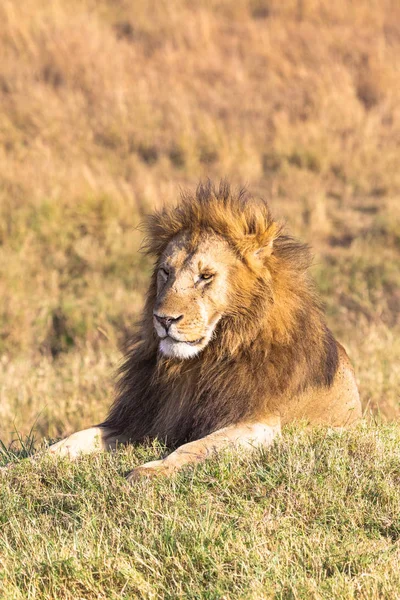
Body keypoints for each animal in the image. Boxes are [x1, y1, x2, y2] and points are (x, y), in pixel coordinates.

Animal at [48, 180, 360, 480]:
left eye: (205, 276)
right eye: (165, 272)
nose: (163, 319)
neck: (198, 364)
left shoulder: (259, 424)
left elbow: (194, 447)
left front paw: (150, 471)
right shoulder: (148, 418)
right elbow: (81, 436)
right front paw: (41, 459)